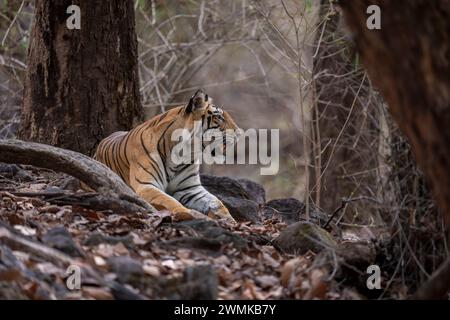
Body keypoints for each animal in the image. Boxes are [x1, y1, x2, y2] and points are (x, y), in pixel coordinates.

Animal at [94, 90, 239, 222]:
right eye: (219, 117)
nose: (239, 132)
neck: (182, 155)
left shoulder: (191, 189)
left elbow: (218, 203)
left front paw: (231, 221)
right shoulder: (146, 185)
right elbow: (169, 201)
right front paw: (191, 214)